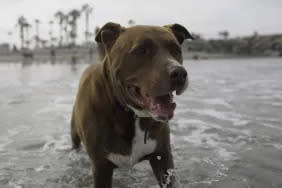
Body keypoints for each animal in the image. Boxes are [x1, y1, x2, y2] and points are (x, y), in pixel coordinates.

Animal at [71, 21, 193, 187]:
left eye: (175, 50)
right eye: (141, 50)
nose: (179, 73)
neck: (131, 113)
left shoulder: (162, 157)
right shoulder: (101, 166)